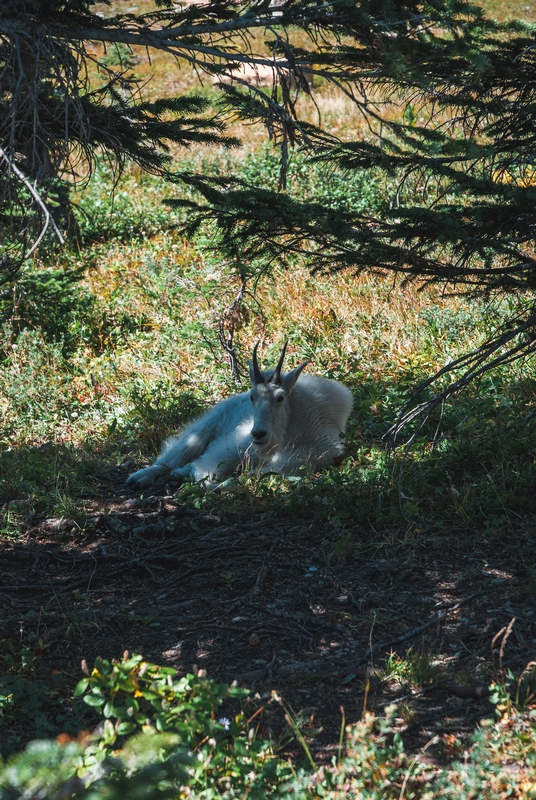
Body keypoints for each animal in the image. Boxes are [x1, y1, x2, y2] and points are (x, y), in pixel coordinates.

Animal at [125, 342, 352, 488]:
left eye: (280, 397)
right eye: (252, 397)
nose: (258, 434)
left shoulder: (299, 462)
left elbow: (245, 477)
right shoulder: (237, 445)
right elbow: (209, 470)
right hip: (202, 430)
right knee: (169, 459)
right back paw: (139, 478)